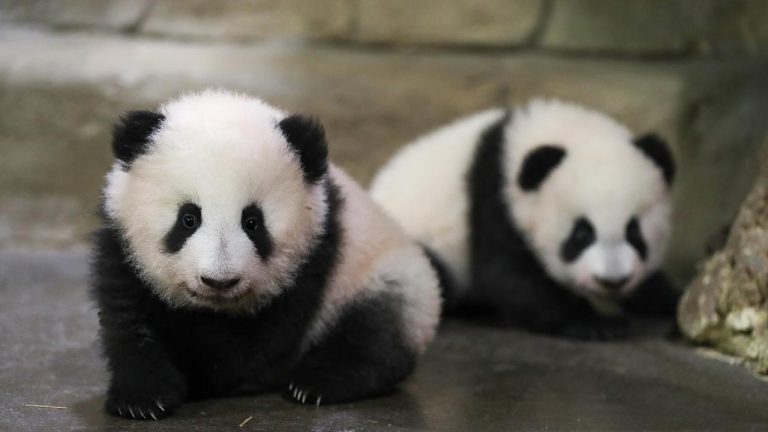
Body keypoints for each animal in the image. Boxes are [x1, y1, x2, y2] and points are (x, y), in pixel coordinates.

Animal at [91, 90, 441, 420]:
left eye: (253, 222)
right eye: (188, 219)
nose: (219, 281)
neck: (213, 309)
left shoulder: (314, 256)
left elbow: (257, 342)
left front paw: (203, 376)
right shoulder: (122, 249)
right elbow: (129, 321)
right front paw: (142, 399)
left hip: (380, 276)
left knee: (373, 332)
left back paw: (317, 382)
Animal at [370, 99, 678, 340]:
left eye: (634, 232)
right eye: (581, 234)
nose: (612, 280)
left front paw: (667, 300)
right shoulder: (494, 198)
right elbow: (510, 276)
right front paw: (596, 324)